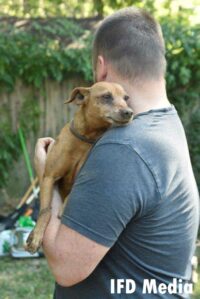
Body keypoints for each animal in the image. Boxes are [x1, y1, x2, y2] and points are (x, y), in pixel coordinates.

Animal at [25, 81, 134, 253]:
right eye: (106, 96)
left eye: (126, 98)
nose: (129, 112)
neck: (85, 137)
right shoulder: (49, 177)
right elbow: (45, 210)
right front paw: (36, 236)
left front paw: (64, 206)